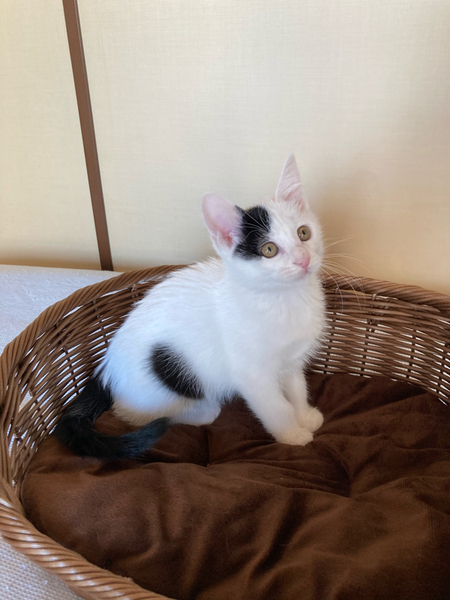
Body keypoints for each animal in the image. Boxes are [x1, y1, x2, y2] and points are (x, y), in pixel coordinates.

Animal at [54, 155, 326, 459]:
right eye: (269, 250)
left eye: (304, 233)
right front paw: (291, 434)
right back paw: (201, 410)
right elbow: (276, 406)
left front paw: (305, 416)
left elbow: (297, 388)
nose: (303, 259)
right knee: (136, 414)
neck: (283, 300)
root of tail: (105, 370)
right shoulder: (252, 374)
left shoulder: (292, 360)